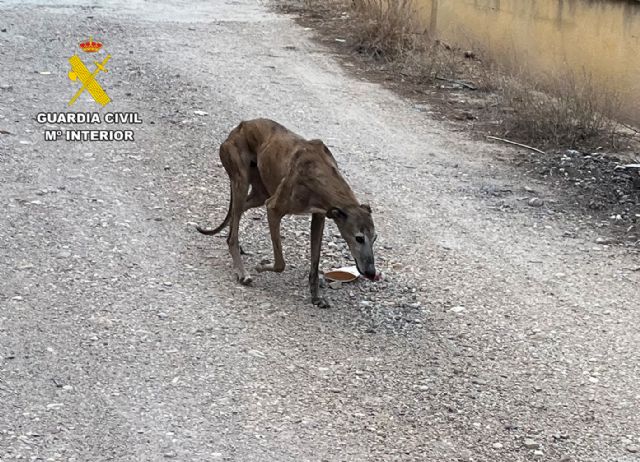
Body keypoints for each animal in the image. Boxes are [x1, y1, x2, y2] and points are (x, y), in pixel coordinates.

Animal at [195, 118, 376, 306]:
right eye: (359, 238)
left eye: (375, 238)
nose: (371, 273)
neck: (320, 170)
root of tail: (240, 127)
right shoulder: (273, 208)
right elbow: (280, 263)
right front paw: (260, 266)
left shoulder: (320, 216)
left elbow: (315, 262)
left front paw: (316, 297)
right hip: (242, 182)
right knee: (234, 229)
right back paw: (242, 271)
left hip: (259, 193)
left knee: (236, 215)